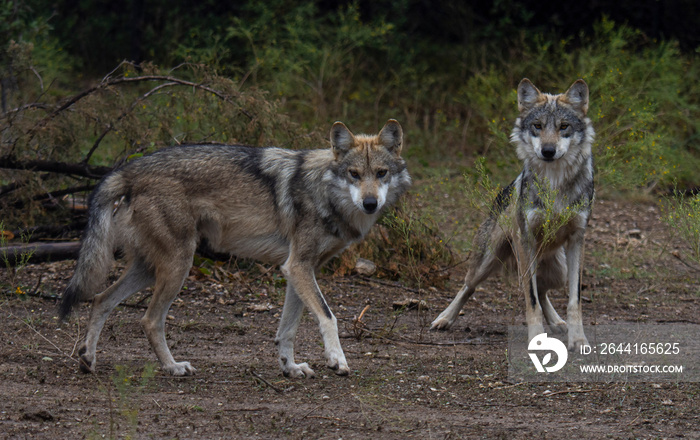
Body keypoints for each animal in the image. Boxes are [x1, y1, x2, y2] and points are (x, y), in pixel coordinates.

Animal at [61, 118, 410, 376]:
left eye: (381, 173)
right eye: (354, 174)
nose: (370, 203)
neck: (324, 192)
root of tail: (127, 169)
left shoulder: (300, 269)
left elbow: (288, 329)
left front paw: (290, 368)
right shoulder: (298, 266)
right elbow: (328, 317)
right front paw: (337, 361)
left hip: (150, 268)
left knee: (100, 300)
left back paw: (88, 360)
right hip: (178, 265)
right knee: (149, 320)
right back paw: (173, 367)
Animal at [434, 77, 592, 348]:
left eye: (564, 126)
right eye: (538, 126)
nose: (548, 151)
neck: (555, 182)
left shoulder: (576, 240)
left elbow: (574, 300)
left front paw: (578, 339)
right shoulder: (525, 240)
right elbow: (531, 299)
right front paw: (537, 339)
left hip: (558, 270)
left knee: (543, 290)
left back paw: (557, 323)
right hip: (491, 260)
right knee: (468, 286)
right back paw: (444, 318)